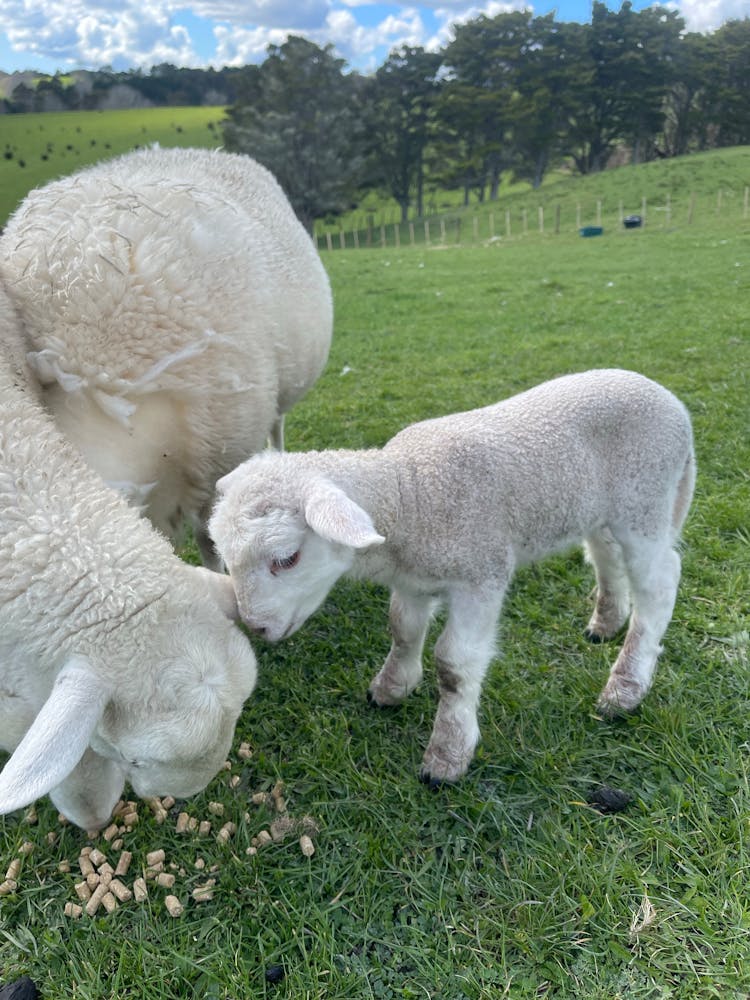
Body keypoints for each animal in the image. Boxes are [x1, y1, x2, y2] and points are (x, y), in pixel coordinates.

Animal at [209, 372, 696, 784]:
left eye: (287, 558)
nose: (256, 626)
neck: (409, 493)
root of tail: (670, 400)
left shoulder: (481, 575)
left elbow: (454, 665)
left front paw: (447, 753)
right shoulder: (412, 581)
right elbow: (403, 630)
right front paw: (392, 687)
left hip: (645, 501)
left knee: (660, 581)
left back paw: (626, 686)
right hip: (598, 508)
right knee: (605, 555)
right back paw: (606, 622)